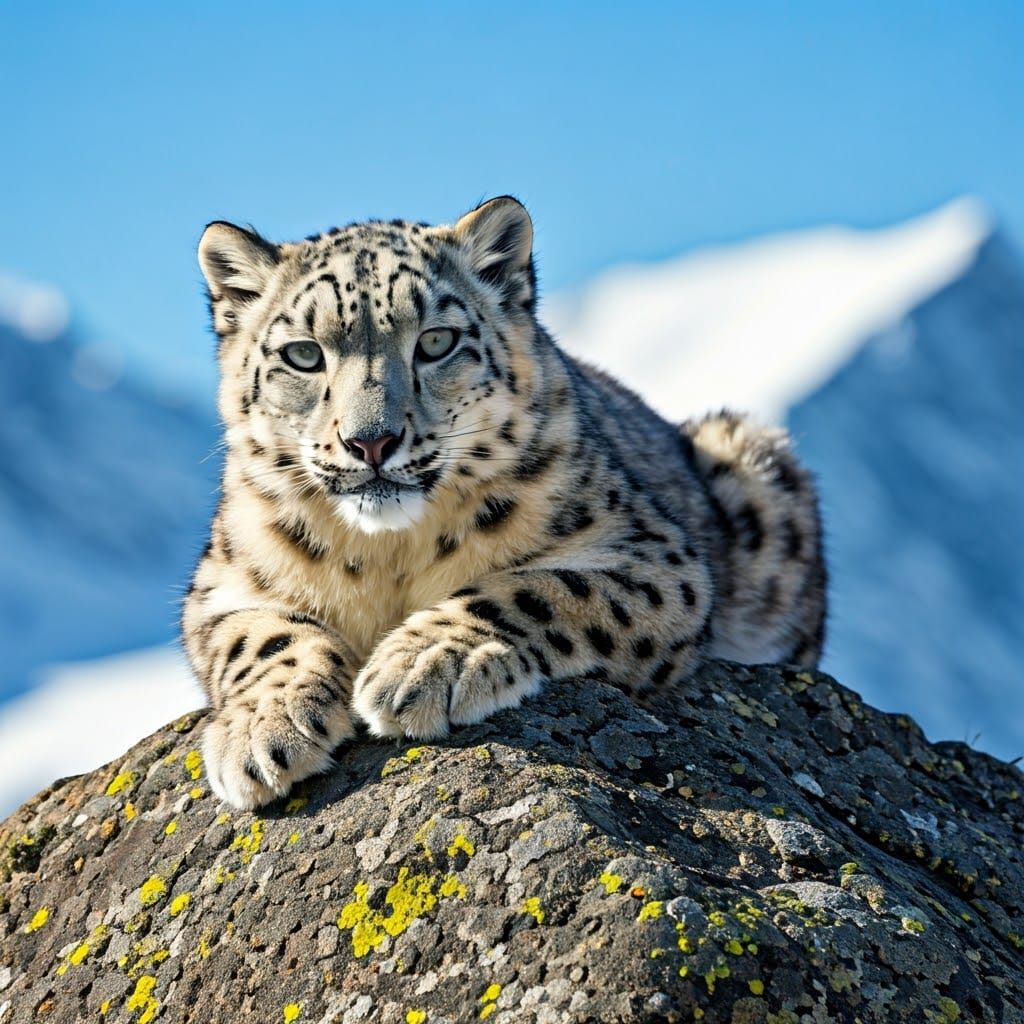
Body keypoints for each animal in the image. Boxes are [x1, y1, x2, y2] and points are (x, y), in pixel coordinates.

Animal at [182, 196, 827, 810]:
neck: (391, 554)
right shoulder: (224, 583)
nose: (371, 441)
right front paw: (264, 729)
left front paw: (423, 663)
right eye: (303, 354)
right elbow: (261, 636)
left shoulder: (654, 557)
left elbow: (541, 588)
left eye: (436, 342)